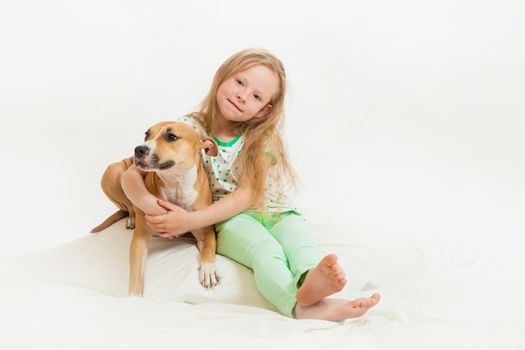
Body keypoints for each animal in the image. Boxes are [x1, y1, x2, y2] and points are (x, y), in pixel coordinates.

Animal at [91, 121, 218, 296]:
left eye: (171, 136)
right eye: (147, 134)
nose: (139, 149)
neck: (177, 184)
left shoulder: (205, 232)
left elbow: (209, 247)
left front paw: (208, 269)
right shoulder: (140, 238)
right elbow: (135, 276)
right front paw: (133, 298)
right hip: (113, 171)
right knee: (129, 206)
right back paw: (131, 218)